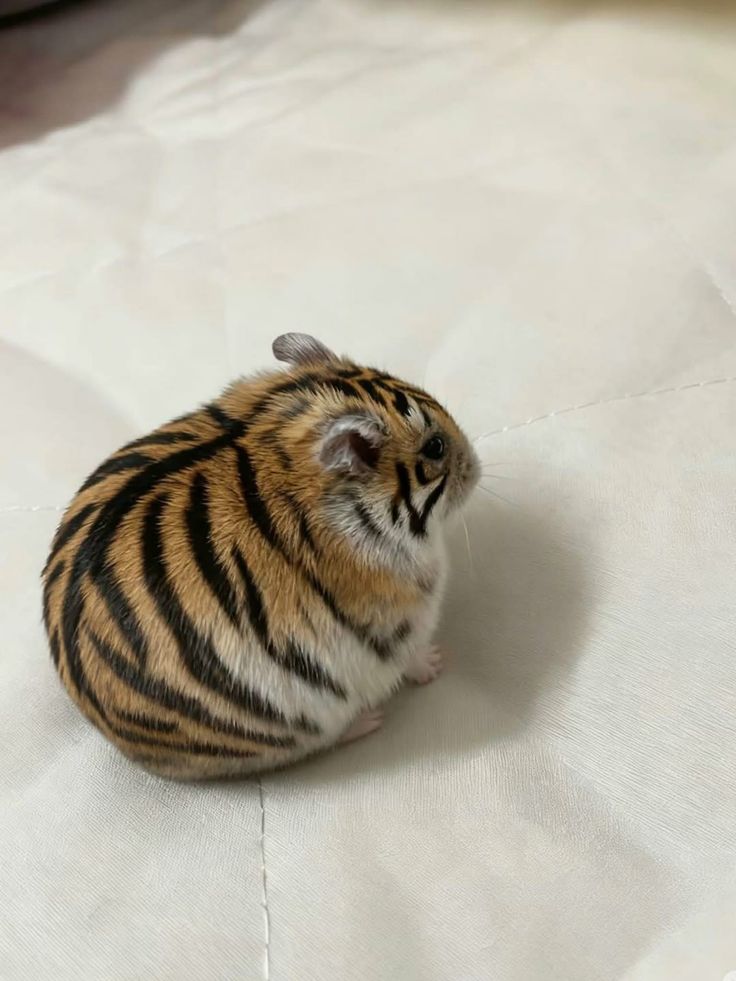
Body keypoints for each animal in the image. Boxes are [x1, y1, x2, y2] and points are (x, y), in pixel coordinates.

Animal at [41, 333, 480, 779]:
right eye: (435, 447)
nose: (476, 464)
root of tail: (122, 743)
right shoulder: (399, 622)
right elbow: (411, 658)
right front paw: (437, 662)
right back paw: (370, 720)